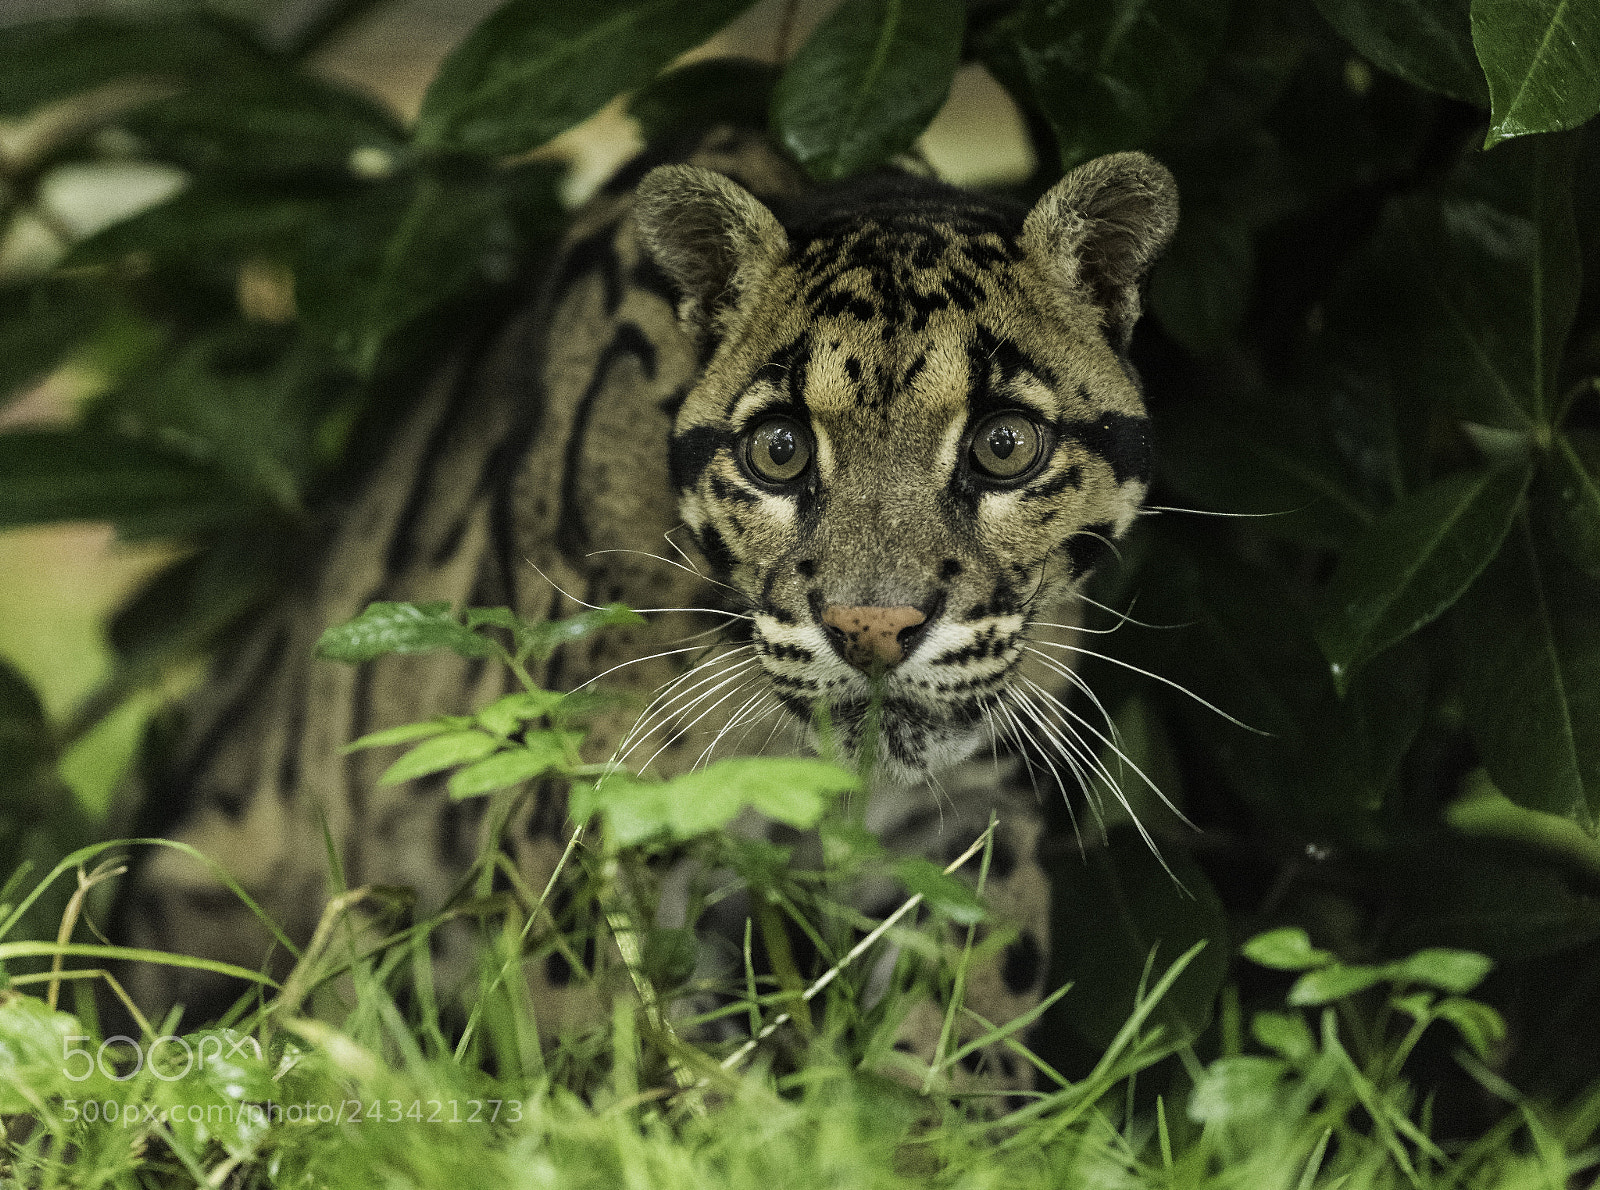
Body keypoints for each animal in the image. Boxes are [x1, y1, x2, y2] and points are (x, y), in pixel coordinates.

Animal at [113, 124, 1177, 1097]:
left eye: (1006, 445)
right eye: (779, 450)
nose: (871, 629)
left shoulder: (982, 808)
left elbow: (967, 1018)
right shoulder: (591, 820)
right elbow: (621, 1055)